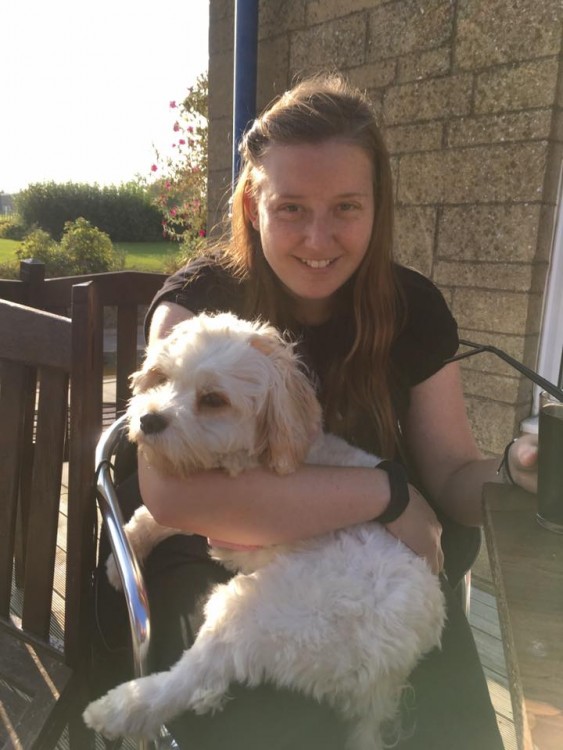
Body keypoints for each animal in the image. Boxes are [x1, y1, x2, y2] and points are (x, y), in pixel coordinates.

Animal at [82, 312, 446, 750]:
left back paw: (120, 708)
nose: (148, 419)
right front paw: (126, 555)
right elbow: (161, 516)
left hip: (259, 612)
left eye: (213, 400)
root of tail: (384, 682)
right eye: (161, 377)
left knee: (195, 673)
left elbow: (171, 517)